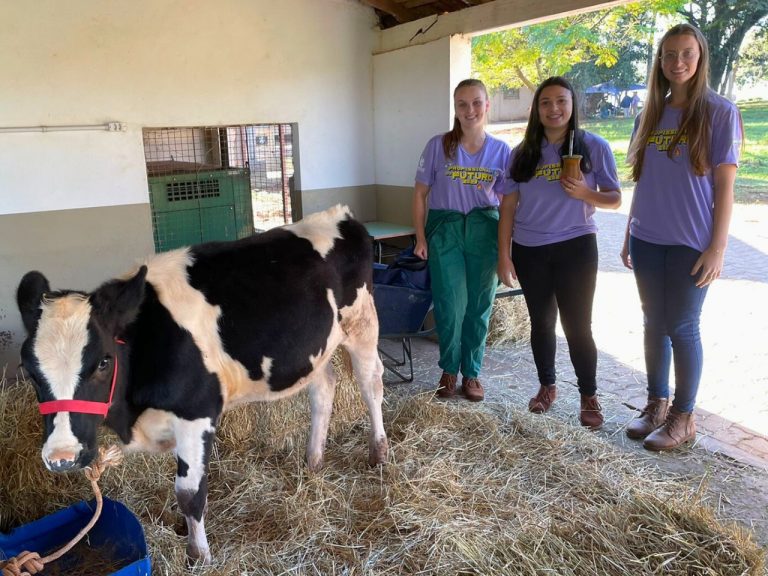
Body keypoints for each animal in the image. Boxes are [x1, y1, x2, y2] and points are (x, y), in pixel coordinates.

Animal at [16, 205, 390, 564]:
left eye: (103, 362)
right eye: (29, 370)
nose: (62, 457)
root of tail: (340, 215)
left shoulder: (196, 412)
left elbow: (189, 491)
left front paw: (199, 555)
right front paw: (185, 531)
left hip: (362, 324)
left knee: (371, 384)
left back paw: (378, 452)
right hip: (316, 351)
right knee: (323, 389)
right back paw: (313, 460)